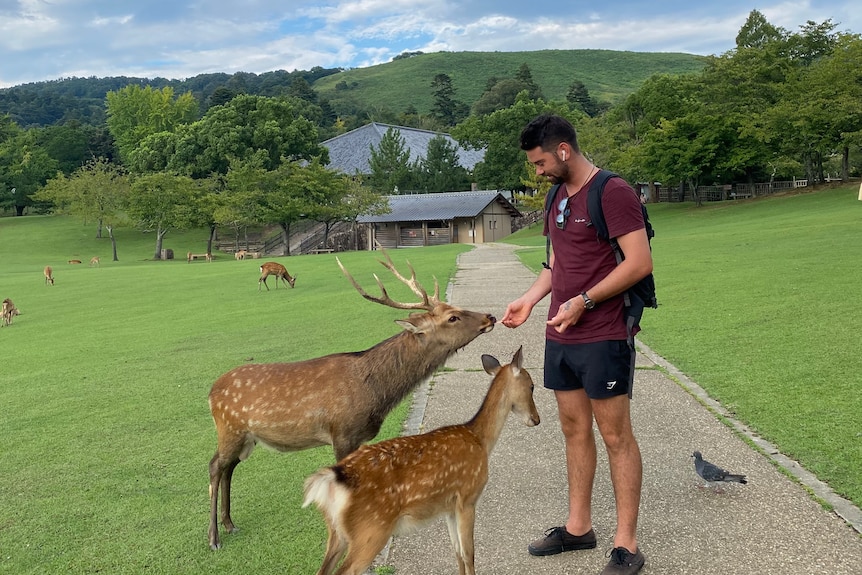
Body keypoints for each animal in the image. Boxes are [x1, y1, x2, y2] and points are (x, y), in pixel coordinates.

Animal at [208, 251, 500, 548]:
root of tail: (211, 392)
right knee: (215, 466)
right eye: (453, 317)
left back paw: (230, 524)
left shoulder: (359, 437)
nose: (490, 316)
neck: (374, 393)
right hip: (230, 428)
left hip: (246, 438)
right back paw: (214, 537)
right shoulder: (342, 433)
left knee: (228, 467)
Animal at [304, 346, 540, 575]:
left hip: (337, 532)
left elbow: (457, 553)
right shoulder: (468, 497)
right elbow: (469, 554)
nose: (536, 419)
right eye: (531, 386)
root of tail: (332, 479)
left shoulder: (449, 506)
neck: (480, 440)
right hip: (370, 530)